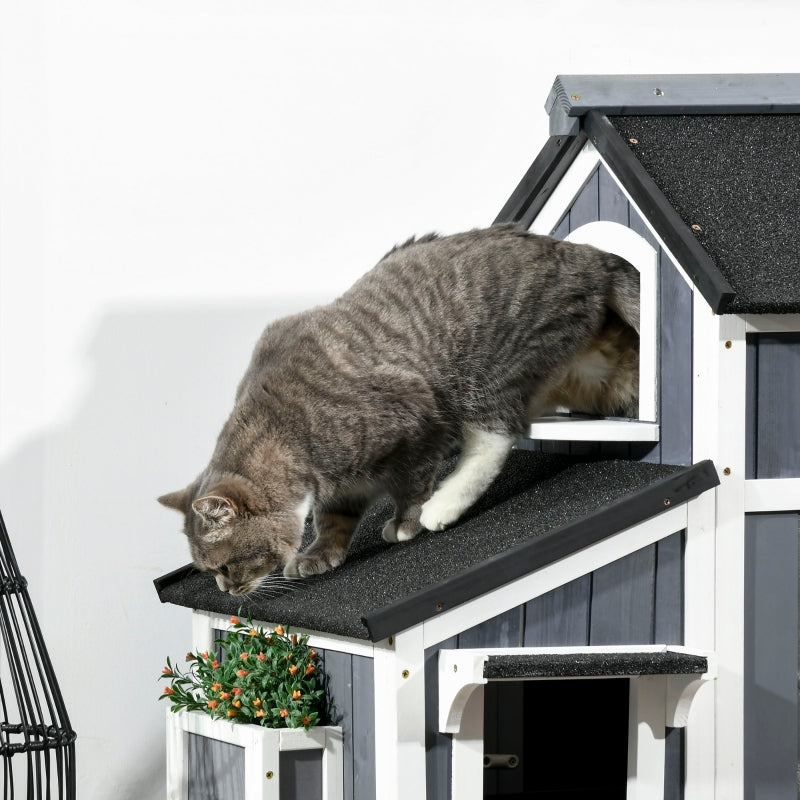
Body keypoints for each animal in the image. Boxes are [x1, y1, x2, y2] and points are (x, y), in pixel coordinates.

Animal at [159, 223, 640, 592]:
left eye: (224, 566)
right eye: (207, 571)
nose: (226, 589)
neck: (288, 426)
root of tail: (586, 253)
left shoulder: (418, 422)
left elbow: (412, 484)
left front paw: (407, 521)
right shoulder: (341, 488)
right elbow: (332, 520)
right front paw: (319, 554)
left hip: (489, 370)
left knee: (494, 438)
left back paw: (444, 506)